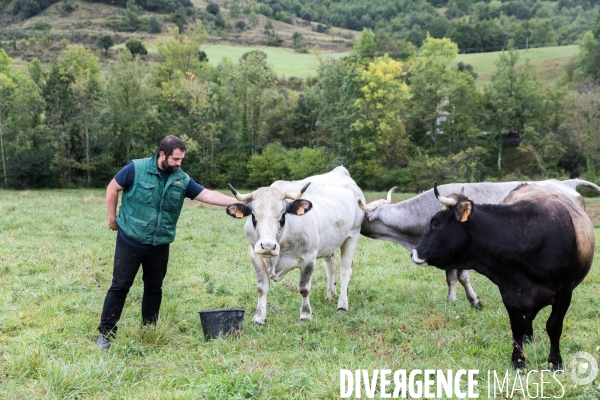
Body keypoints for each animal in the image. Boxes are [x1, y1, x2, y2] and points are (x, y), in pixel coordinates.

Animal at [226, 166, 364, 324]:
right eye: (254, 216)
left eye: (283, 216)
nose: (267, 246)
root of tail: (340, 171)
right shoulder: (256, 255)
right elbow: (262, 288)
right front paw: (259, 317)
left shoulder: (309, 258)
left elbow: (304, 288)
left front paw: (305, 314)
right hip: (329, 244)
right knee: (331, 268)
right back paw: (330, 295)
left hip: (353, 235)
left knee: (345, 271)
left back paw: (342, 304)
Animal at [410, 183, 592, 370]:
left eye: (434, 223)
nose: (413, 253)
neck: (526, 236)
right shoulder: (509, 292)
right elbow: (517, 327)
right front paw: (518, 360)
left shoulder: (564, 292)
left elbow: (554, 326)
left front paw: (555, 362)